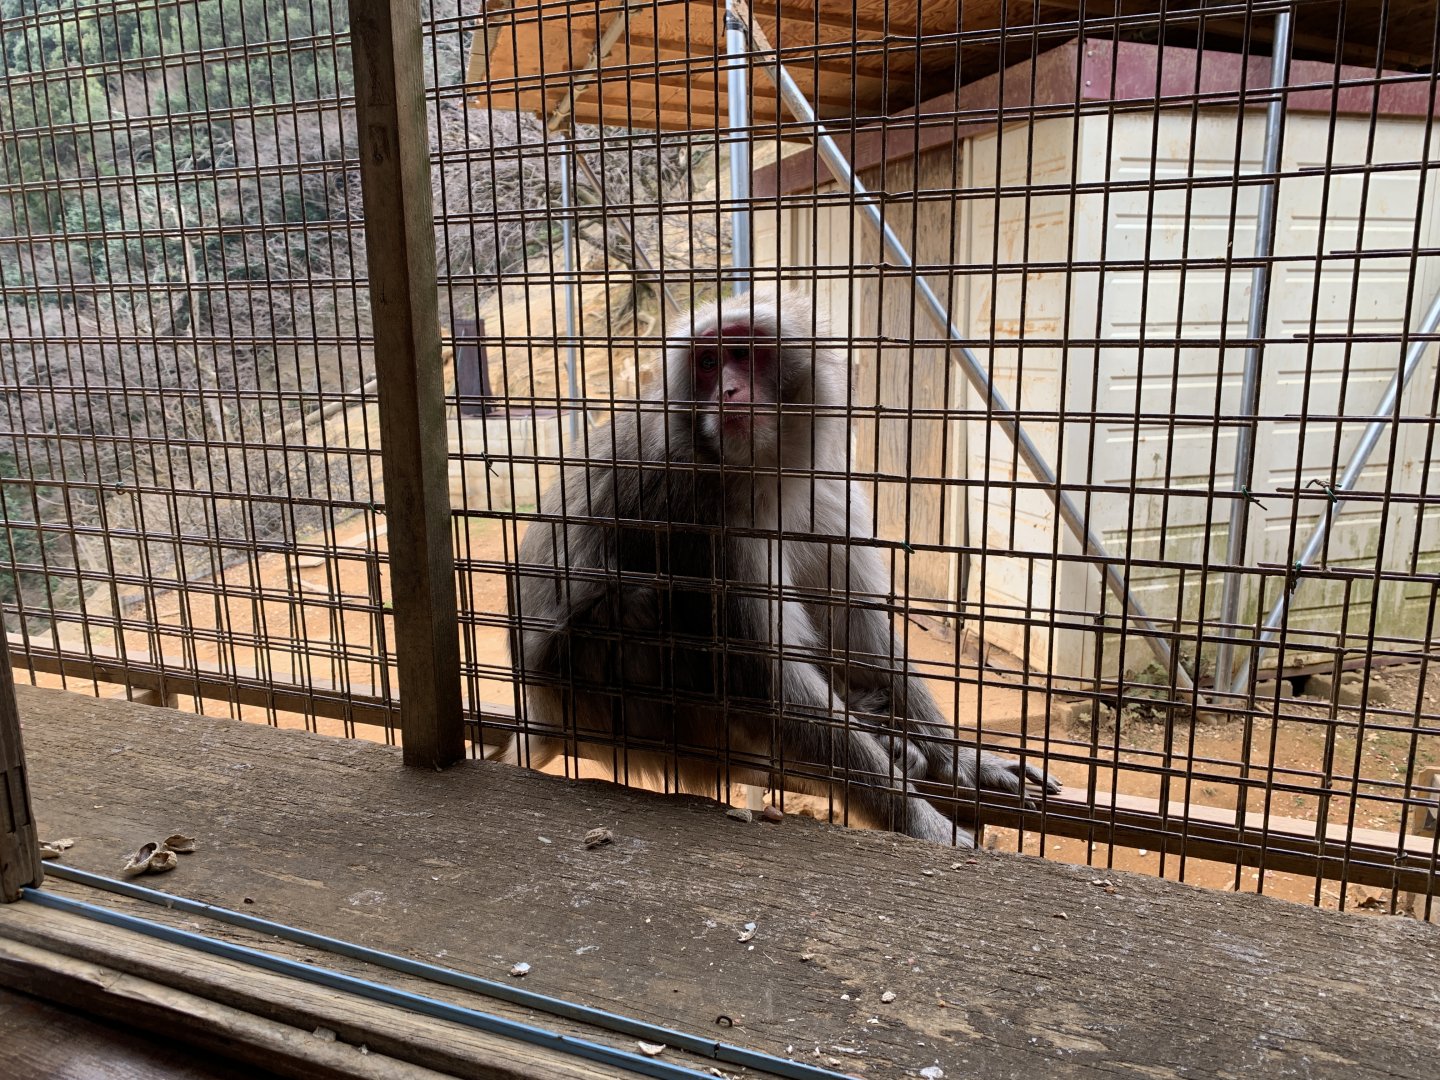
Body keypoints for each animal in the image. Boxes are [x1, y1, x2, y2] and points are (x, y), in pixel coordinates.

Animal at [493, 289, 1059, 847]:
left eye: (744, 354)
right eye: (707, 362)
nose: (728, 391)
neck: (765, 468)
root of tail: (545, 709)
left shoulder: (825, 487)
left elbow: (857, 624)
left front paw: (964, 761)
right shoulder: (699, 509)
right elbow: (764, 674)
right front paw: (916, 818)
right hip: (615, 704)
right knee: (640, 604)